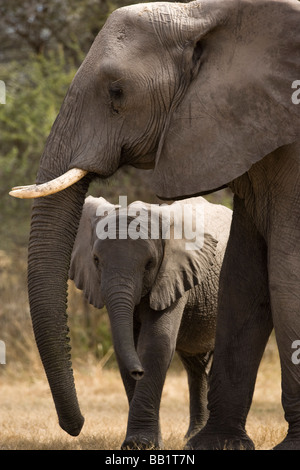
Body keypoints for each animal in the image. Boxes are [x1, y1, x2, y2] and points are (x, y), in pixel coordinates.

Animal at [69, 194, 232, 448]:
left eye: (149, 264)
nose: (138, 371)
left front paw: (141, 444)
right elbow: (126, 346)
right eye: (95, 260)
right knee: (195, 365)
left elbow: (156, 343)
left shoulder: (174, 274)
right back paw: (193, 436)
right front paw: (143, 443)